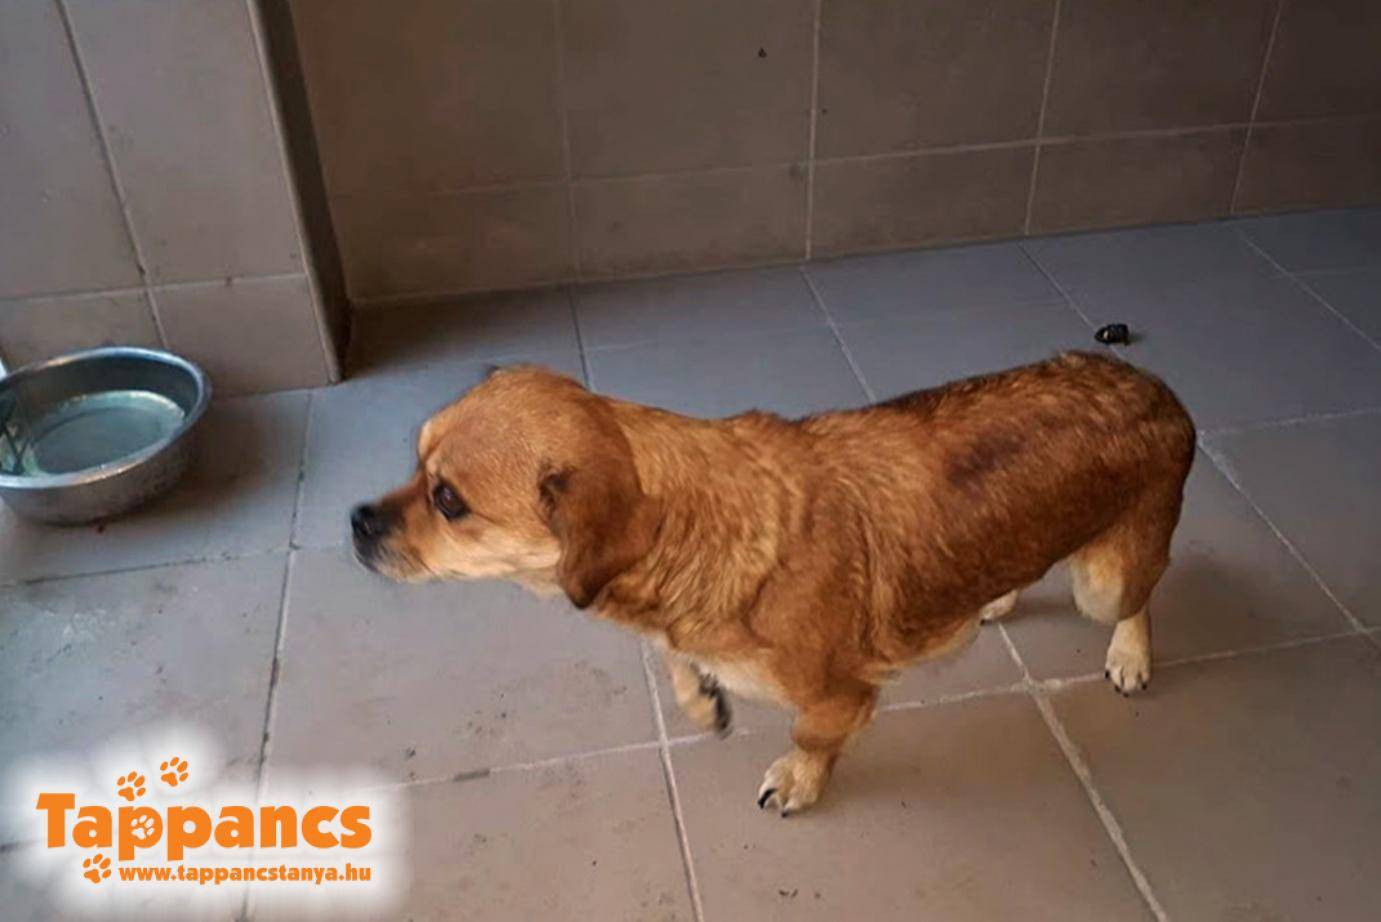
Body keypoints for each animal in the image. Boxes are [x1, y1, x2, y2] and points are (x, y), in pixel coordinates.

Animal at [351, 352, 1194, 814]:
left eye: (447, 500)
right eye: (414, 460)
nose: (355, 521)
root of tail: (1155, 386)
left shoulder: (840, 697)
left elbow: (810, 737)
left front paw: (798, 780)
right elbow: (680, 659)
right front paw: (699, 691)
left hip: (1106, 579)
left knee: (1144, 592)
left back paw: (1129, 653)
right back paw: (994, 594)